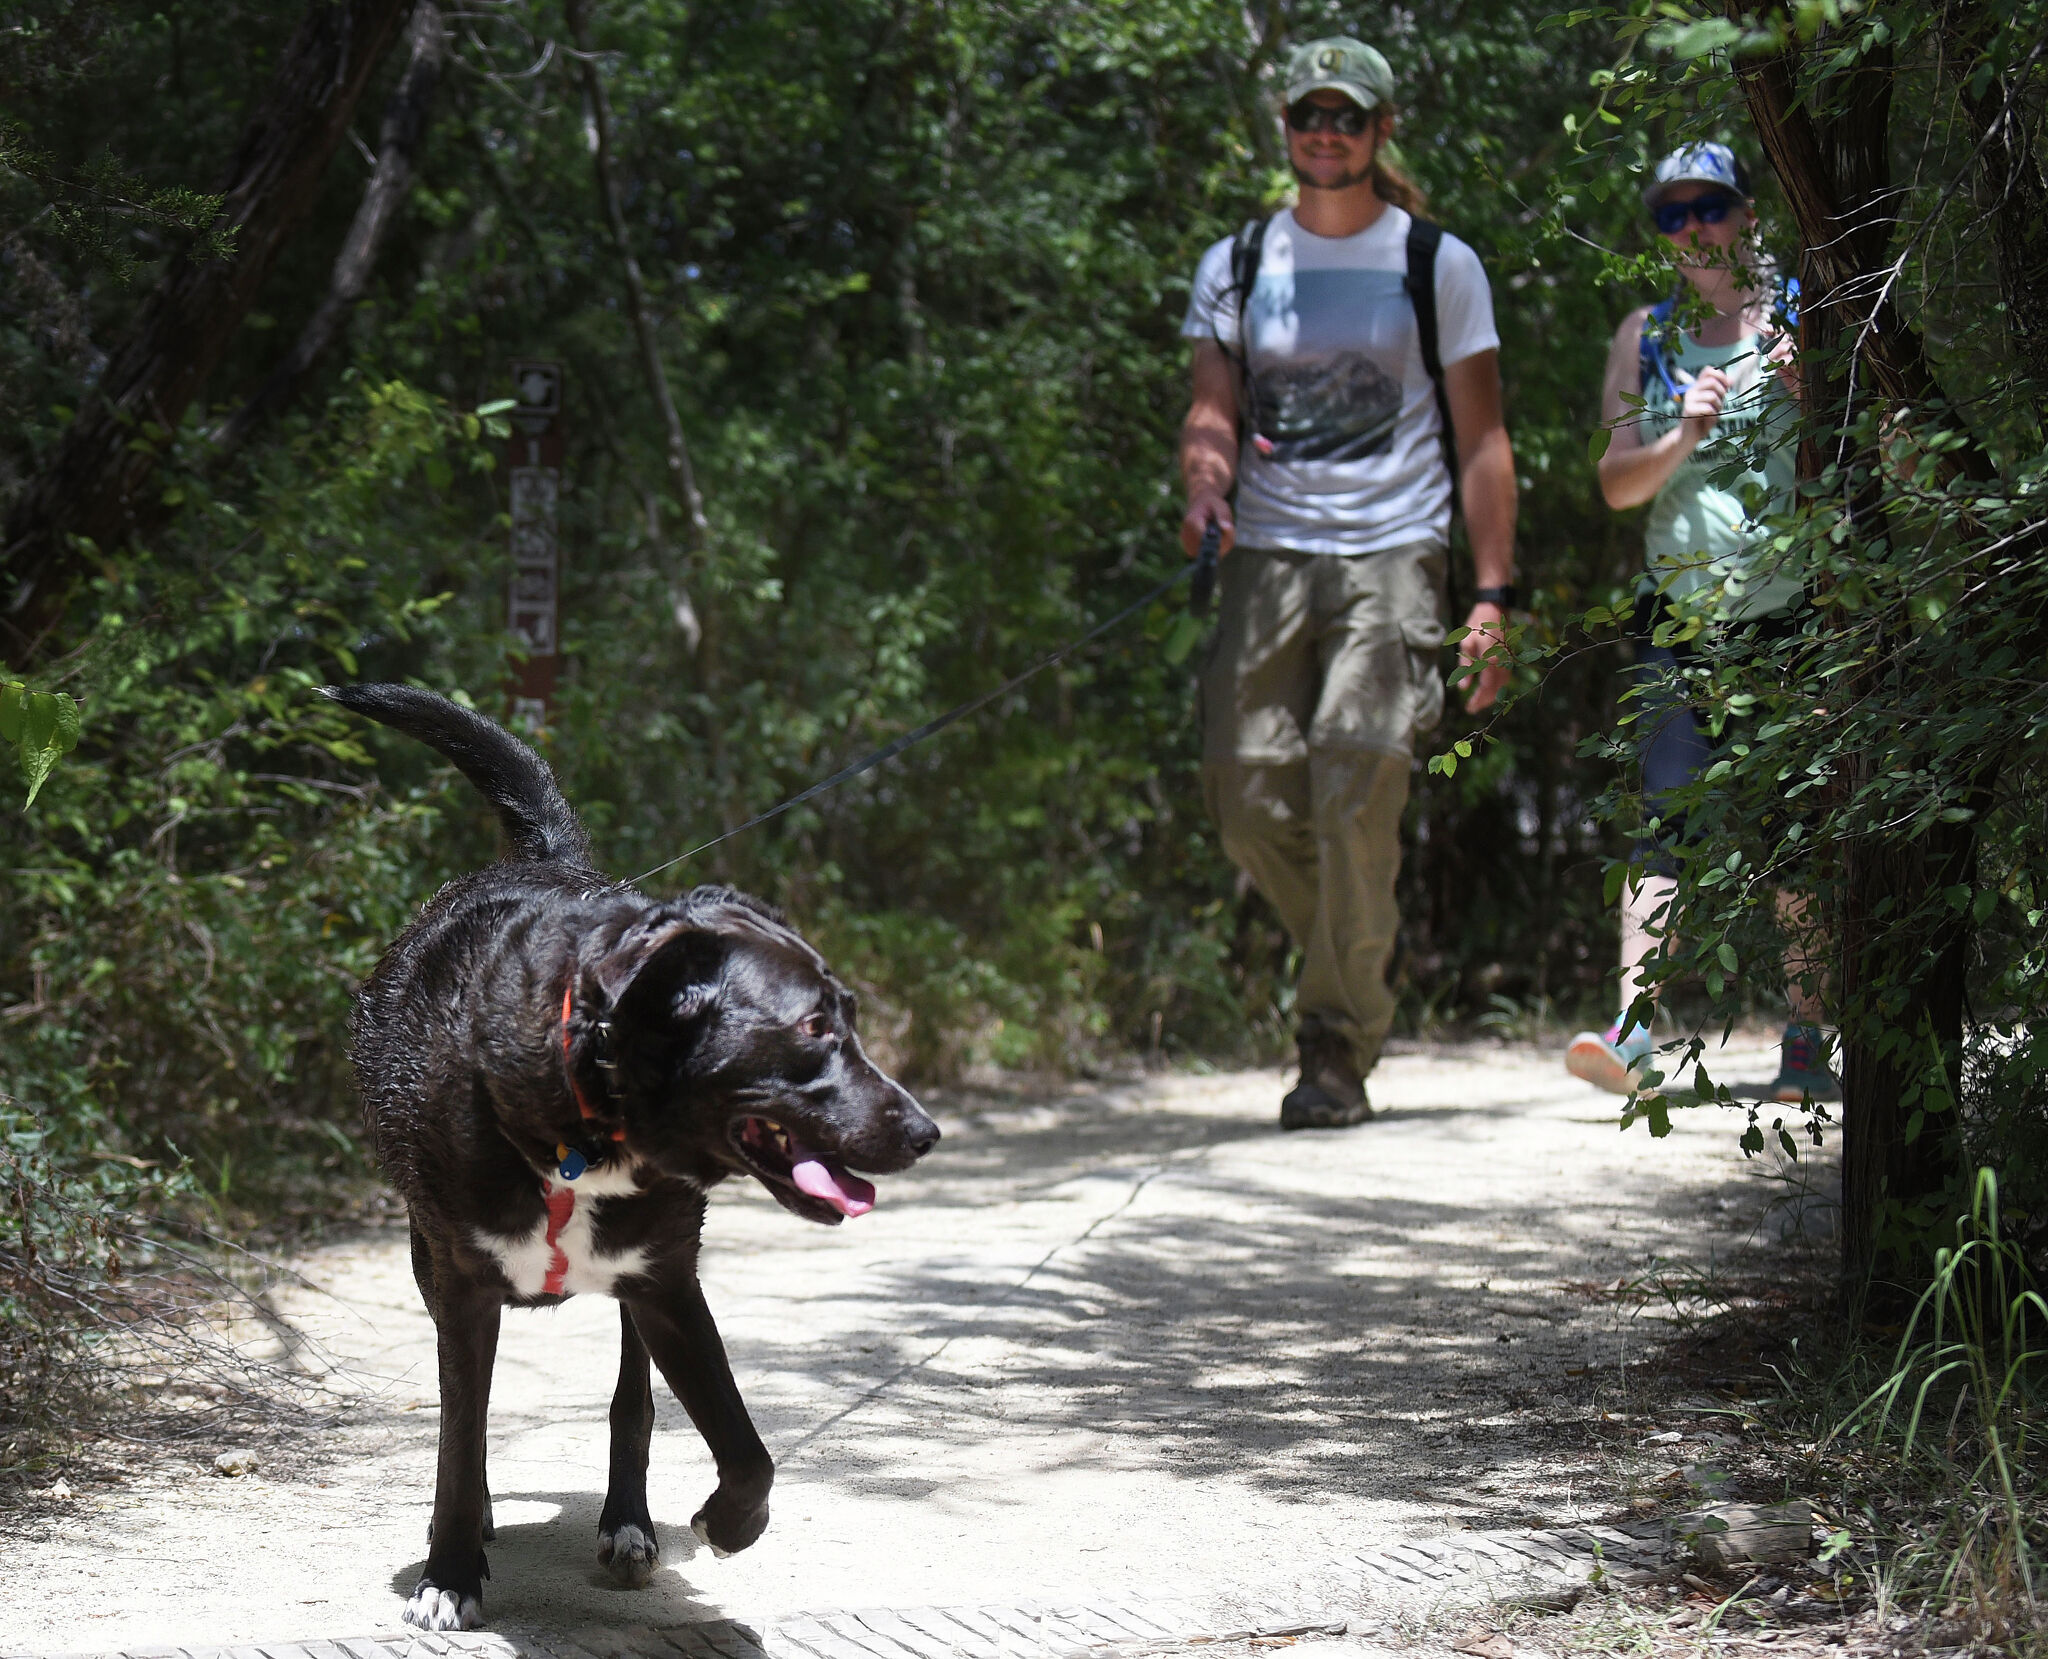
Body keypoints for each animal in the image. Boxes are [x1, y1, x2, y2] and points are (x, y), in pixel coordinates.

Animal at [331, 679, 937, 1630]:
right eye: (813, 1026)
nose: (923, 1130)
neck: (579, 1120)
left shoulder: (664, 1283)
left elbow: (743, 1444)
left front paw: (727, 1523)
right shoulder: (460, 1286)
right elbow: (459, 1438)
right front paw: (450, 1569)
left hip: (631, 1295)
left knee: (630, 1402)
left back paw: (628, 1524)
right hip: (429, 1263)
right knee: (474, 1416)